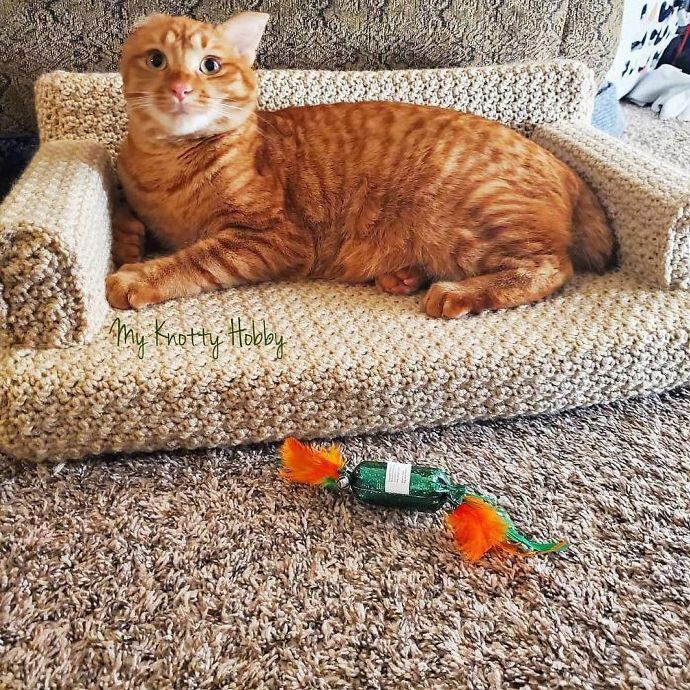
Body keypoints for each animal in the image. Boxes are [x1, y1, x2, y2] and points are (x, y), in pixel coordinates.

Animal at [109, 11, 612, 318]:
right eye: (157, 60)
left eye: (210, 65)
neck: (167, 165)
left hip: (472, 218)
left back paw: (455, 292)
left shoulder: (273, 237)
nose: (180, 88)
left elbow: (198, 259)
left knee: (553, 266)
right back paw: (404, 275)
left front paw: (138, 276)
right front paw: (129, 246)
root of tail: (566, 168)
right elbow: (124, 214)